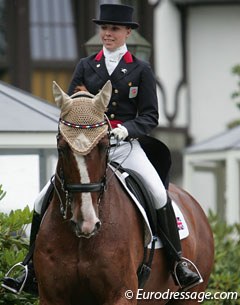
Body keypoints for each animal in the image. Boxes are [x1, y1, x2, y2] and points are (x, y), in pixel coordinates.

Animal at [33, 79, 214, 302]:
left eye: (104, 146)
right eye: (61, 148)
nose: (87, 223)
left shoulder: (122, 294)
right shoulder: (50, 297)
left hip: (191, 295)